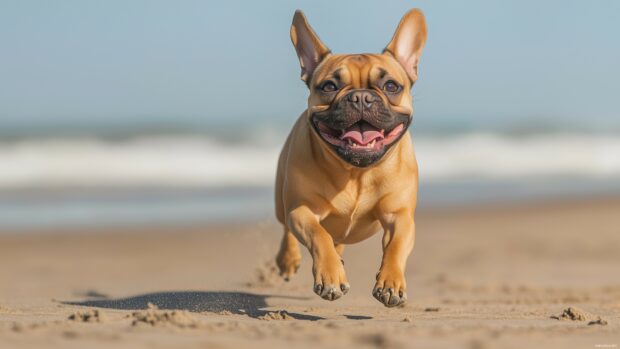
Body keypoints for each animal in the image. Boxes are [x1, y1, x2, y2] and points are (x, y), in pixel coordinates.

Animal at [274, 9, 426, 306]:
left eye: (391, 85)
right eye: (329, 86)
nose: (361, 97)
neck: (356, 172)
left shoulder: (400, 217)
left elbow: (397, 245)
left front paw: (391, 282)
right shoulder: (302, 210)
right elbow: (318, 234)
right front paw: (331, 276)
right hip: (282, 201)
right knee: (287, 228)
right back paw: (289, 259)